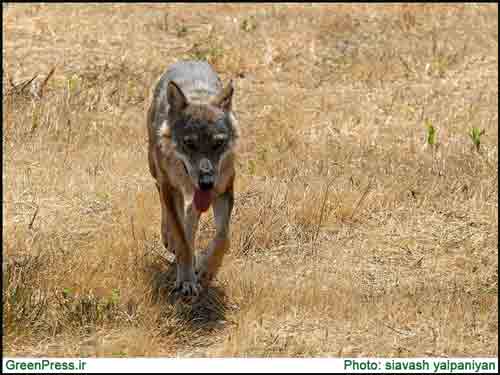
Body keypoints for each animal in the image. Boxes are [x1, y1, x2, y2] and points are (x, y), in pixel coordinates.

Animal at [146, 61, 238, 302]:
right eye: (189, 143)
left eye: (218, 143)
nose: (206, 182)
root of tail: (188, 60)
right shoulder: (170, 188)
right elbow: (181, 238)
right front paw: (187, 281)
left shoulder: (224, 189)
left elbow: (223, 237)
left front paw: (206, 270)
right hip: (156, 171)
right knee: (163, 202)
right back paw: (169, 238)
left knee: (191, 216)